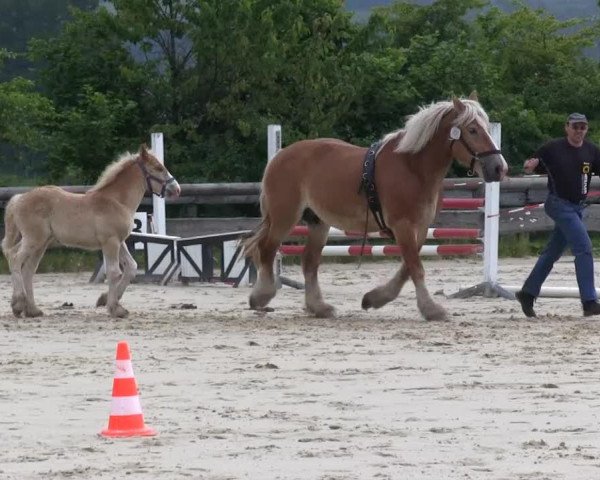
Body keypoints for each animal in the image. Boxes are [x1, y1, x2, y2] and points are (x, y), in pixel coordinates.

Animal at [1, 146, 180, 318]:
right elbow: (114, 272)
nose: (176, 189)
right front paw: (115, 309)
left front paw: (105, 299)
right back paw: (18, 304)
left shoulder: (119, 241)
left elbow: (131, 267)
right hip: (34, 239)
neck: (117, 202)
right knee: (15, 259)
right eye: (159, 168)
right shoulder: (110, 242)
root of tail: (19, 198)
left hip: (41, 244)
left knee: (27, 269)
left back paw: (32, 310)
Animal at [243, 94, 506, 320]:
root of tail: (279, 156)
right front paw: (431, 309)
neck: (413, 167)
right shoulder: (402, 226)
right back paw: (262, 295)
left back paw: (318, 307)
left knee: (309, 261)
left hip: (318, 222)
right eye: (472, 130)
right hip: (284, 217)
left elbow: (407, 268)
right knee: (266, 249)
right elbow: (415, 267)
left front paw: (375, 298)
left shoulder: (420, 227)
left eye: (486, 127)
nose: (499, 167)